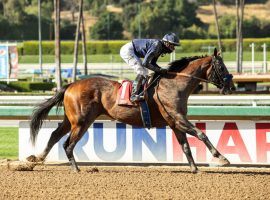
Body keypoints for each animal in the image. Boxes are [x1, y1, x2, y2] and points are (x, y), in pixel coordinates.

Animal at [26, 47, 234, 173]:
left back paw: (37, 158)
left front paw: (194, 168)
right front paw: (221, 158)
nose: (231, 87)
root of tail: (70, 85)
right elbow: (201, 134)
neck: (176, 85)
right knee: (68, 144)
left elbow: (185, 146)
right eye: (222, 67)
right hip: (82, 122)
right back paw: (75, 169)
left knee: (55, 135)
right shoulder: (177, 118)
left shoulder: (175, 123)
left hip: (72, 120)